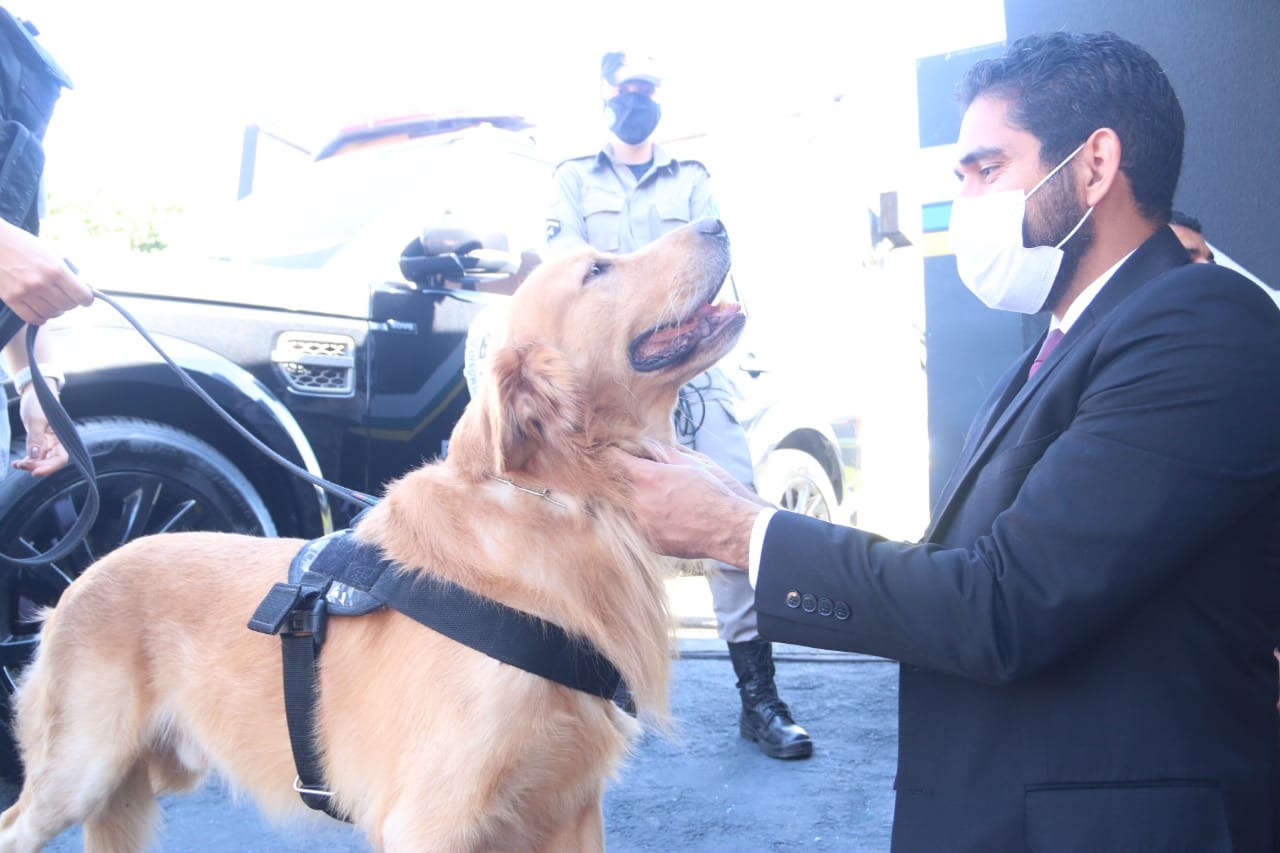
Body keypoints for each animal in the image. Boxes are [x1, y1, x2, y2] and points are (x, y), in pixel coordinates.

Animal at [0, 219, 742, 850]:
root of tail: (77, 581)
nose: (716, 222)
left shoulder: (570, 806)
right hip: (80, 767)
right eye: (596, 270)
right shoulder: (431, 816)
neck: (563, 500)